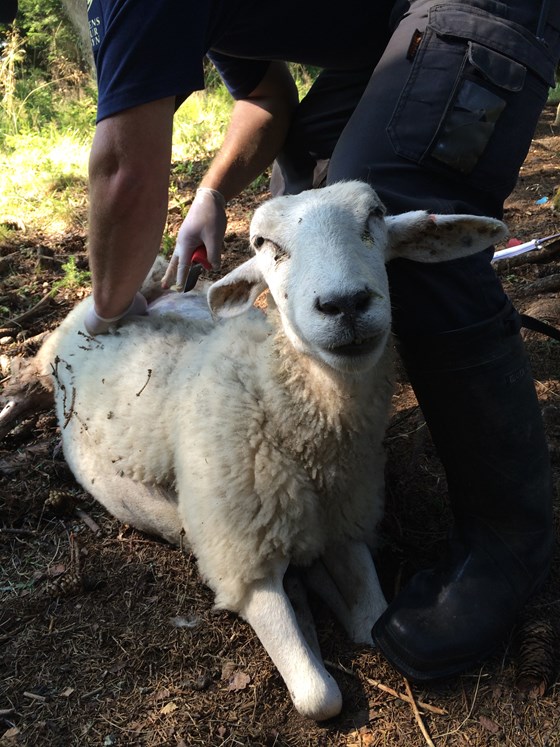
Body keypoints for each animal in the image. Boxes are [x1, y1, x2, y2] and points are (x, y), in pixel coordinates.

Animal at [34, 180, 508, 720]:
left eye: (376, 215)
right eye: (263, 244)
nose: (345, 304)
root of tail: (75, 317)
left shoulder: (346, 520)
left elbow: (372, 620)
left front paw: (329, 591)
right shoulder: (245, 562)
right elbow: (320, 696)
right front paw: (310, 600)